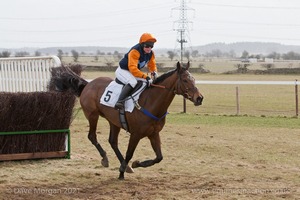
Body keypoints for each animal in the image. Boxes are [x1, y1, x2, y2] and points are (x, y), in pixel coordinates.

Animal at [53, 61, 204, 180]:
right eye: (185, 80)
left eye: (194, 79)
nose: (199, 98)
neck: (151, 102)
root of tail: (88, 84)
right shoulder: (136, 134)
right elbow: (129, 153)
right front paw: (122, 173)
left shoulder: (154, 133)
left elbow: (159, 157)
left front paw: (135, 164)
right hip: (92, 115)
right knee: (92, 136)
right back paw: (106, 159)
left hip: (113, 121)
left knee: (113, 141)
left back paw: (125, 166)